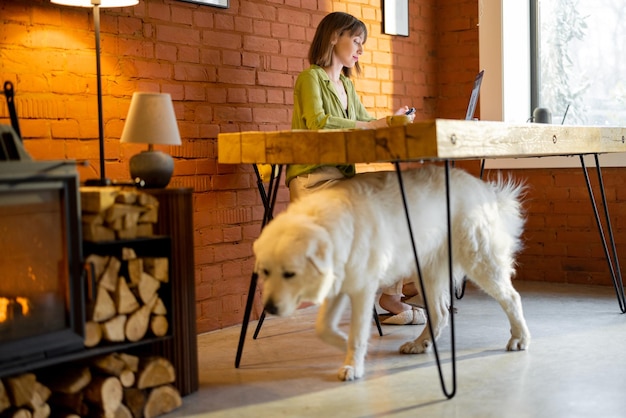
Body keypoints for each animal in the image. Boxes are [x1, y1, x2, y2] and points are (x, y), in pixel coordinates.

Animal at [251, 165, 528, 380]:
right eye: (265, 272)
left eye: (290, 274)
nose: (270, 309)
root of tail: (484, 188)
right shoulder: (340, 287)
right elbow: (323, 328)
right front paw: (345, 345)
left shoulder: (362, 290)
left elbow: (358, 332)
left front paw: (353, 364)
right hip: (426, 271)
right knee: (439, 313)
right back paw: (420, 343)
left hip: (478, 261)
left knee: (512, 297)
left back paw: (520, 339)